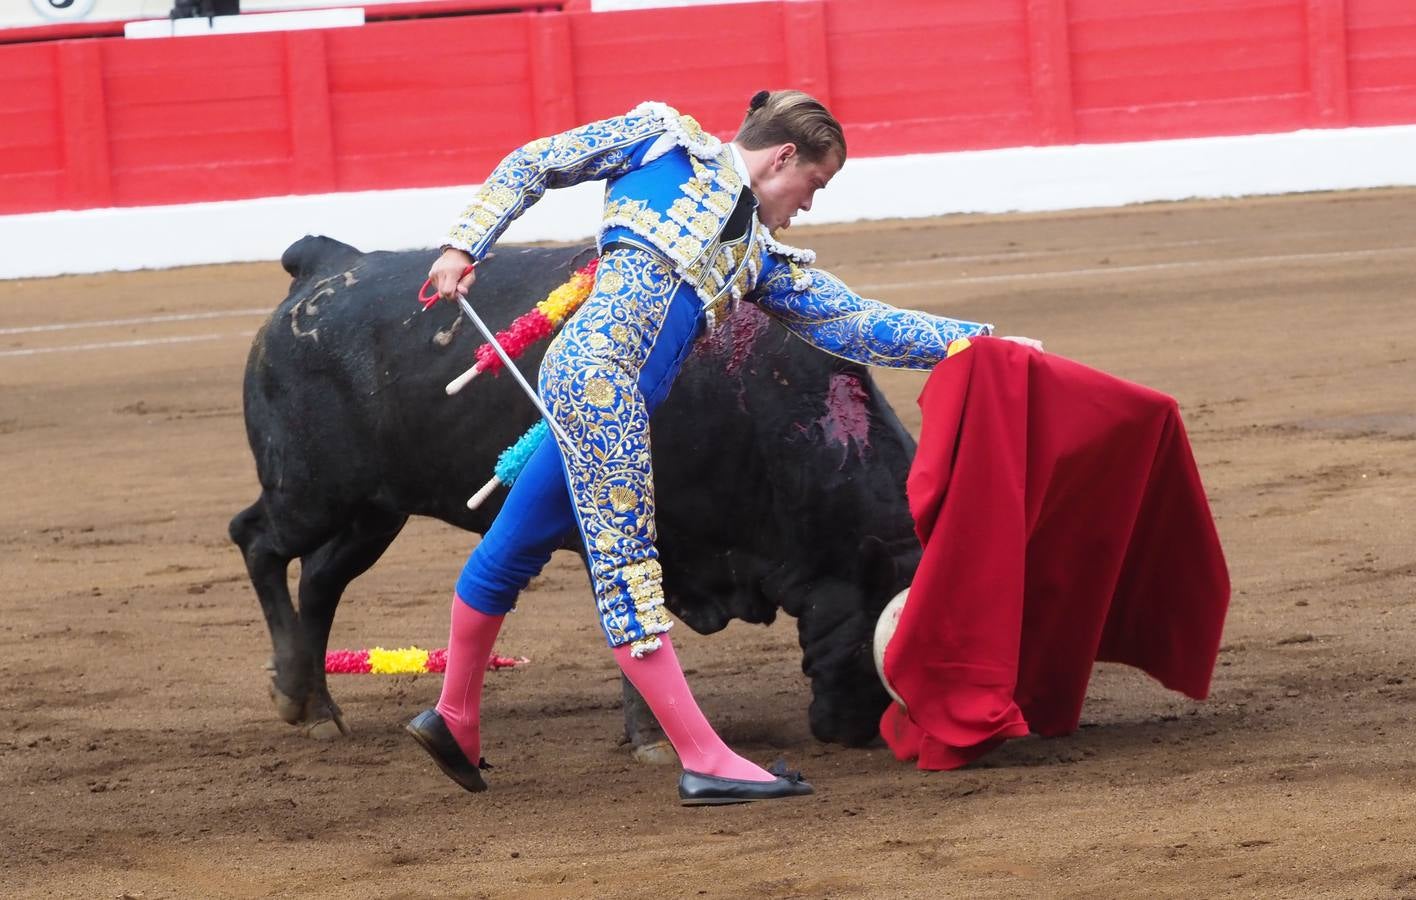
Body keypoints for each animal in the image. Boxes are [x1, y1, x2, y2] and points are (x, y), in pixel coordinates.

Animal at [227, 234, 923, 747]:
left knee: (320, 581)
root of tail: (322, 263)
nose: (862, 734)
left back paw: (310, 702)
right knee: (257, 540)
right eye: (876, 629)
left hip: (374, 511)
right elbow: (635, 624)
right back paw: (300, 697)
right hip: (311, 493)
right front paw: (654, 740)